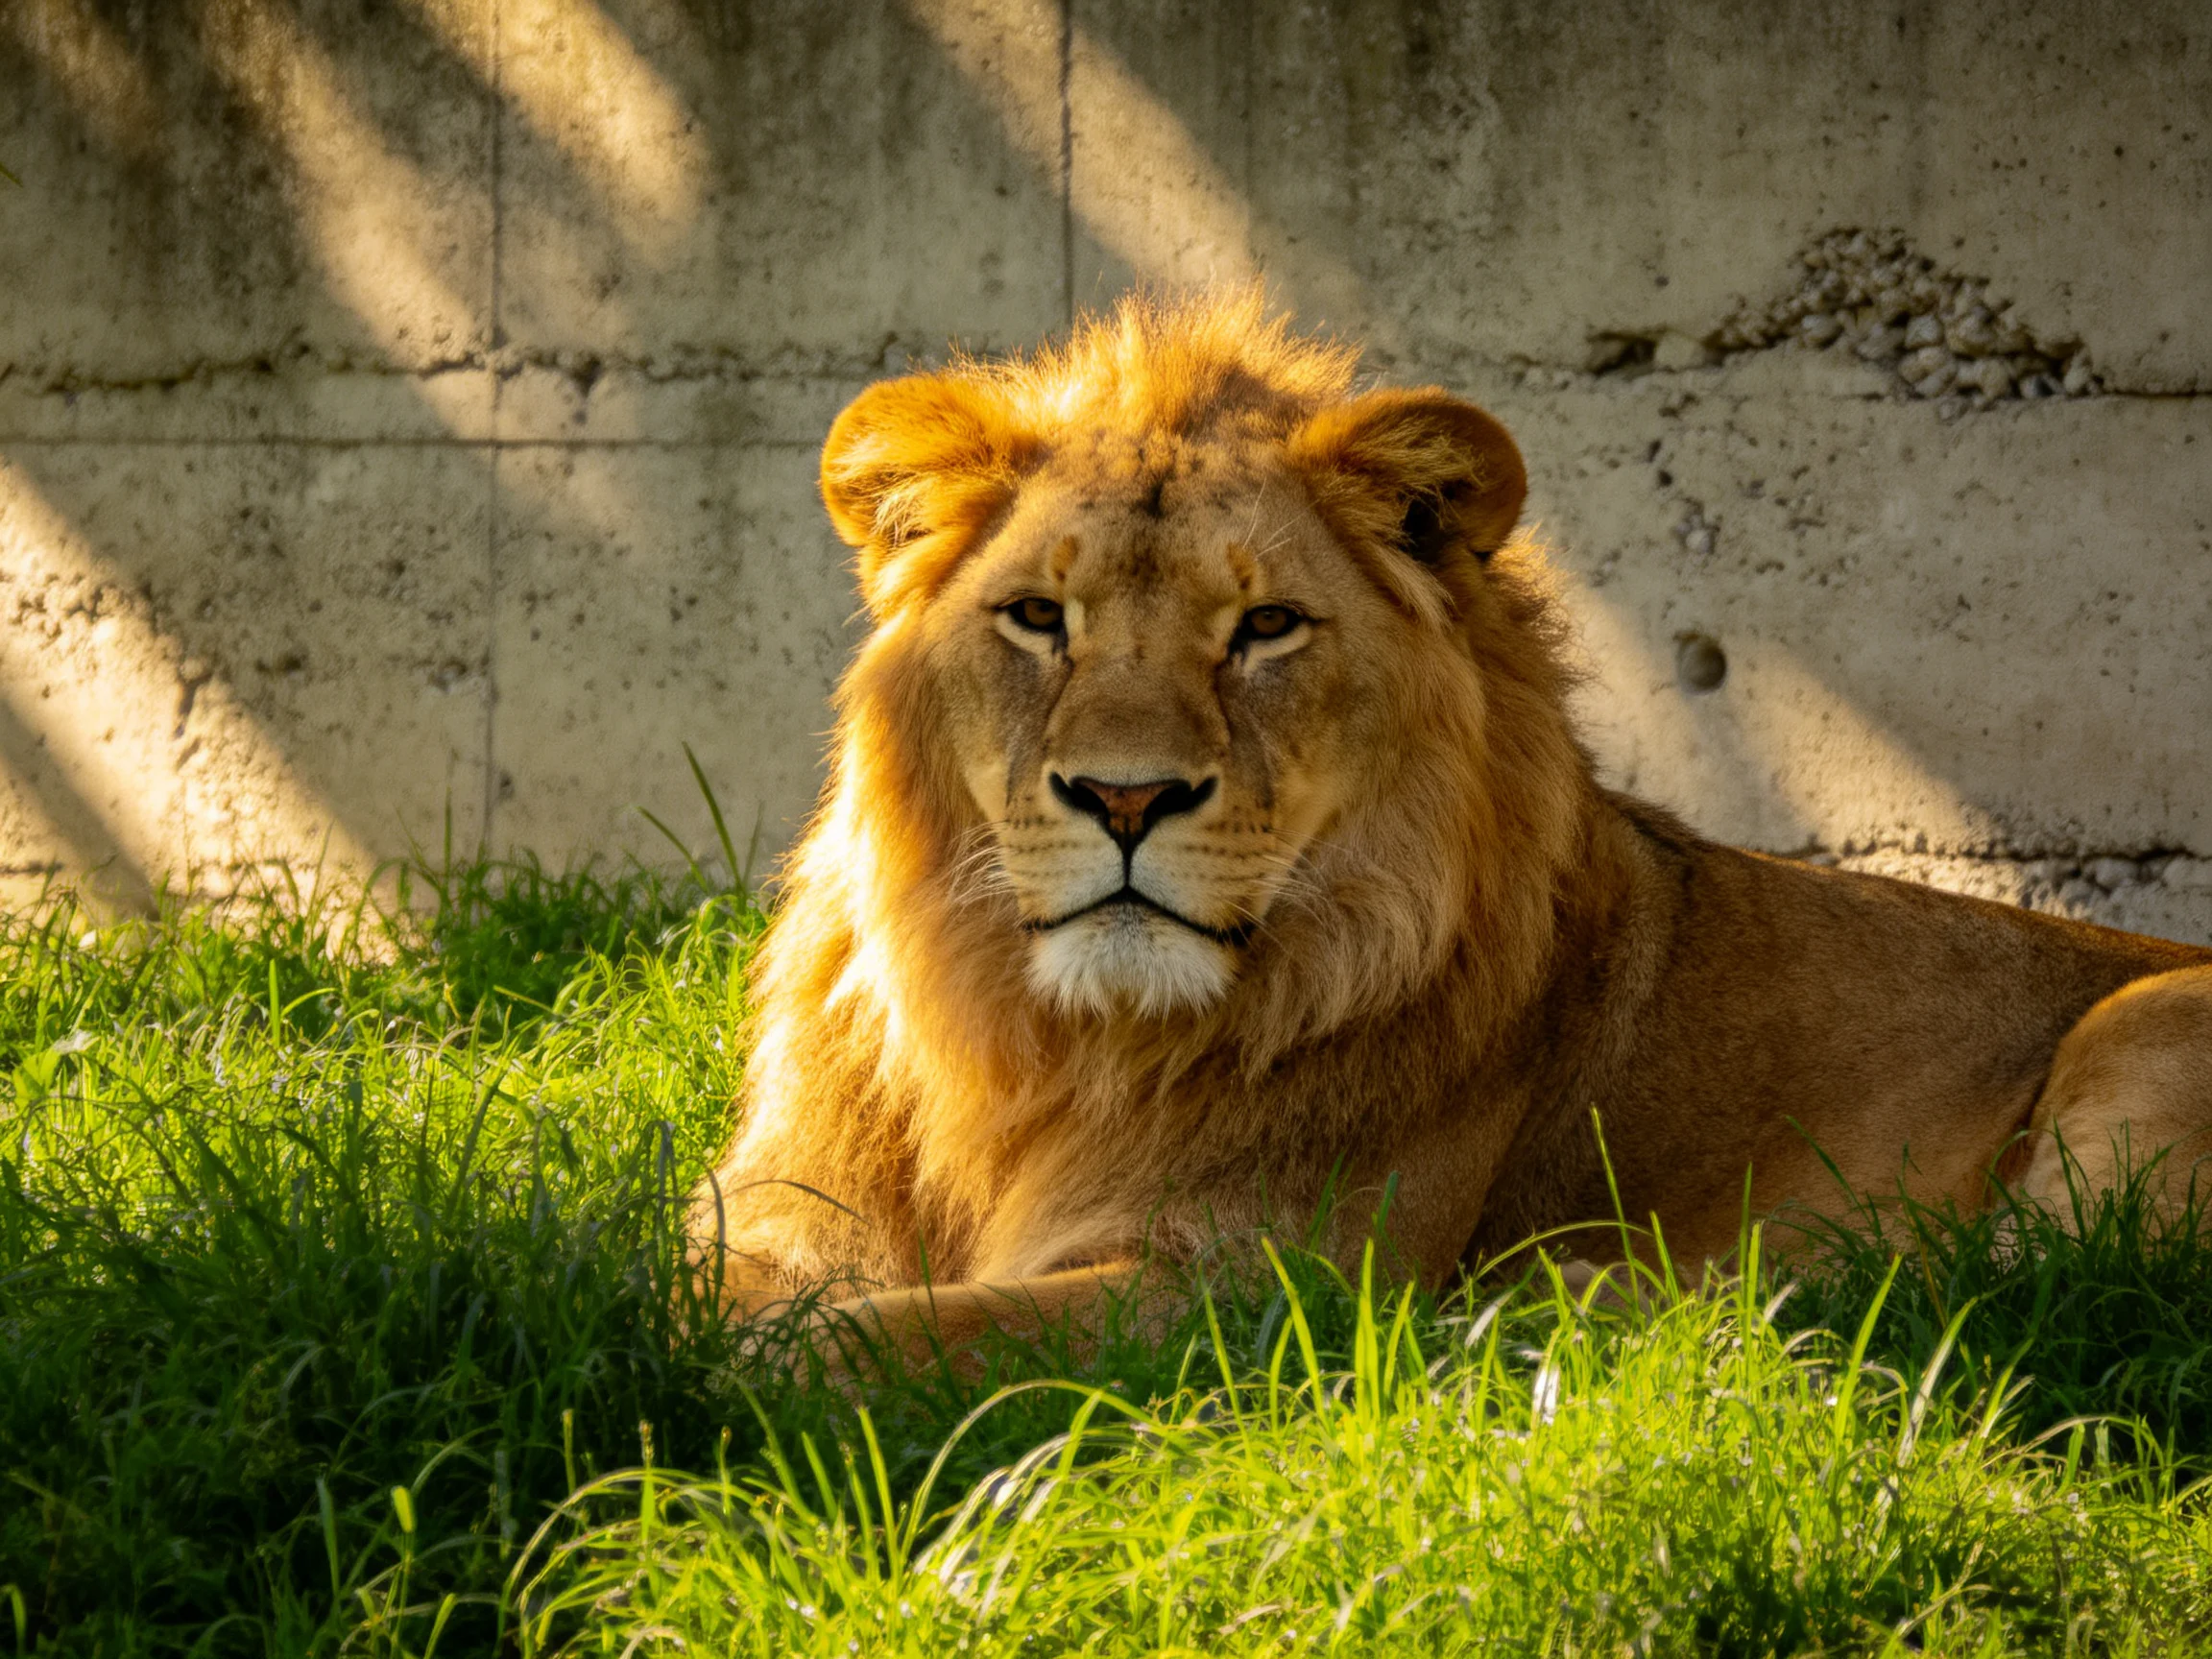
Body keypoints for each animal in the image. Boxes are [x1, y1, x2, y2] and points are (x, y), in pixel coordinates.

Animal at [689, 291, 2212, 1357]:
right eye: (1037, 618)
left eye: (1266, 628)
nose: (1127, 797)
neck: (1034, 1040)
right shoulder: (783, 1205)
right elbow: (686, 1279)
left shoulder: (1245, 1280)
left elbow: (873, 1343)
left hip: (2148, 1030)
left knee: (1977, 1305)